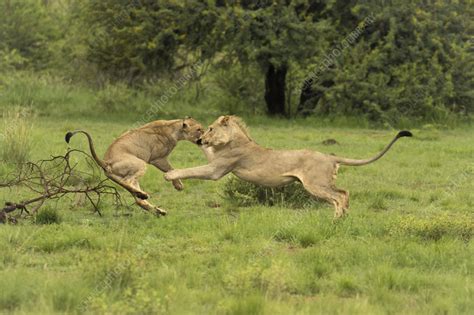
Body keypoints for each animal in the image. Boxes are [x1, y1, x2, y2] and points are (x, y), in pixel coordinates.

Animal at [65, 118, 204, 217]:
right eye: (199, 129)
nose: (205, 136)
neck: (174, 128)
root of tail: (106, 162)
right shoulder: (157, 159)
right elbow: (171, 169)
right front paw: (178, 185)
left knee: (137, 198)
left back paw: (155, 207)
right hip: (140, 164)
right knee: (128, 181)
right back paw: (144, 197)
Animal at [164, 116, 412, 220]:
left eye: (211, 128)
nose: (201, 138)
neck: (233, 140)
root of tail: (329, 156)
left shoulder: (218, 168)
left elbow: (193, 169)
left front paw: (171, 175)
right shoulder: (215, 160)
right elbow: (203, 155)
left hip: (315, 184)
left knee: (339, 195)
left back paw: (336, 220)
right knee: (344, 193)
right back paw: (345, 217)